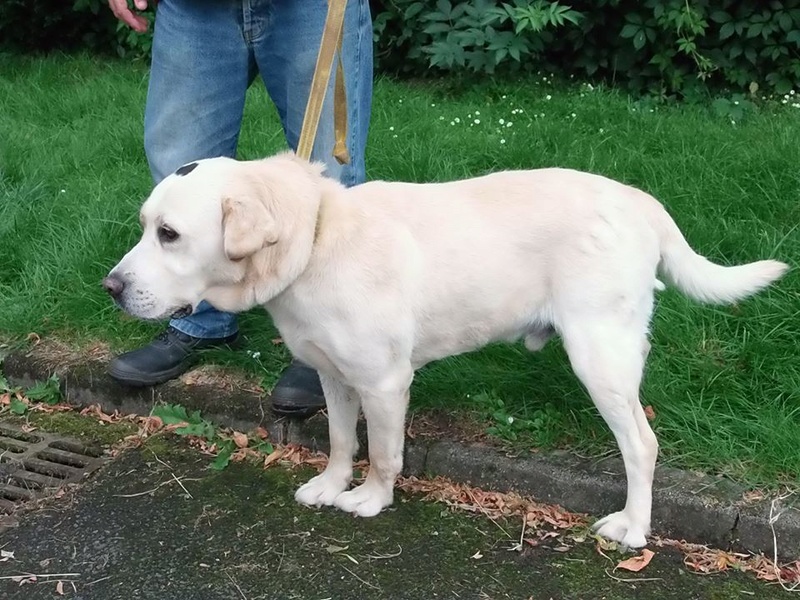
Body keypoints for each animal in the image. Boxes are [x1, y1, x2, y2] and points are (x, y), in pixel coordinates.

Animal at [106, 152, 788, 548]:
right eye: (145, 226)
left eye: (169, 234)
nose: (111, 288)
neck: (315, 239)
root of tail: (641, 200)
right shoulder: (333, 376)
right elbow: (340, 441)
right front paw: (330, 485)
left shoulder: (385, 382)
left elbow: (383, 454)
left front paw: (370, 501)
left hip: (600, 356)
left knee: (642, 446)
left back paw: (634, 529)